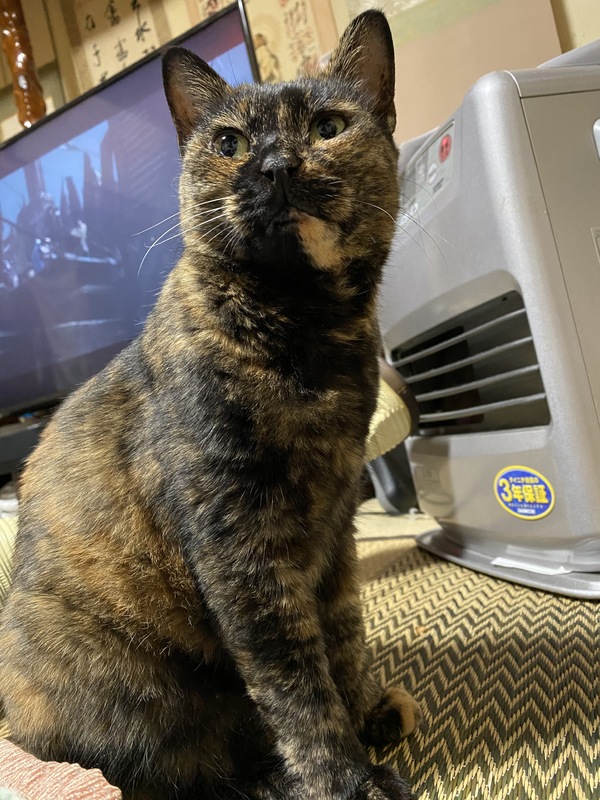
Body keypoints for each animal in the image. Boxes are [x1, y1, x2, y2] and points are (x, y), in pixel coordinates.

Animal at [0, 10, 421, 800]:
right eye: (229, 144)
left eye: (328, 126)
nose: (276, 166)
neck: (306, 335)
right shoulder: (239, 548)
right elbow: (296, 689)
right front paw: (346, 779)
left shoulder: (336, 527)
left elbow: (343, 635)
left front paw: (366, 709)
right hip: (126, 683)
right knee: (179, 768)